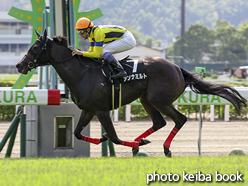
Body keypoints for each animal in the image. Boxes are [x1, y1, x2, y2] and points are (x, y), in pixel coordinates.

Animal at [16, 30, 247, 157]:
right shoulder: (88, 110)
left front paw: (130, 143)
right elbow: (77, 133)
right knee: (159, 122)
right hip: (146, 99)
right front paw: (105, 140)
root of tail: (177, 68)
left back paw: (164, 148)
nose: (19, 65)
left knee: (179, 119)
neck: (82, 73)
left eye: (35, 47)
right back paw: (142, 142)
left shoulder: (101, 111)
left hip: (159, 100)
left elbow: (115, 137)